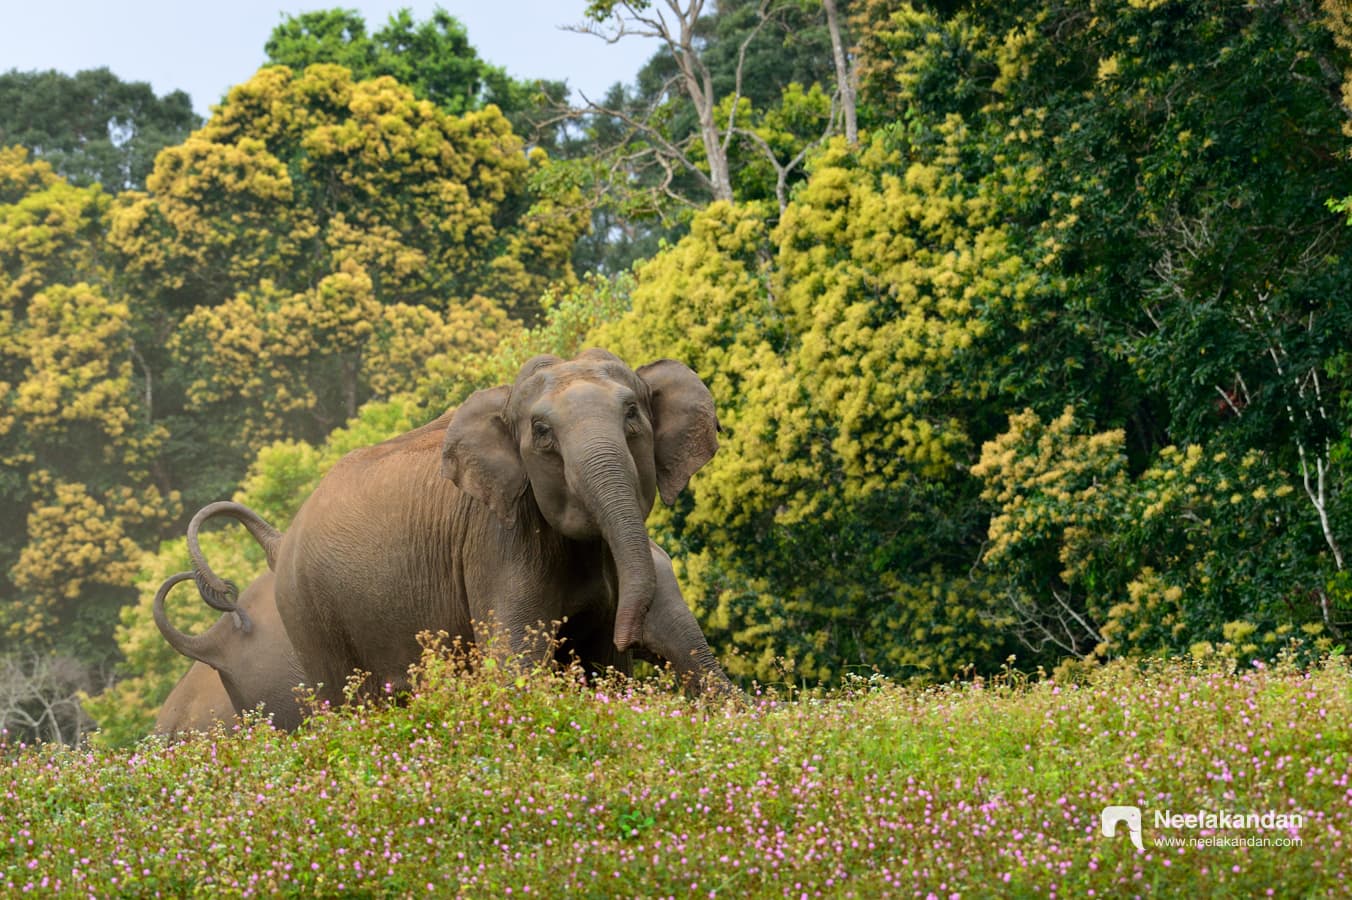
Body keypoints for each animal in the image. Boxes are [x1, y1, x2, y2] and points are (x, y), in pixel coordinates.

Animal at [192, 349, 734, 706]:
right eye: (542, 433)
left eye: (632, 413)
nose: (631, 636)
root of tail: (280, 541)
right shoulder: (498, 538)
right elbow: (515, 662)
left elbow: (598, 664)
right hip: (307, 613)